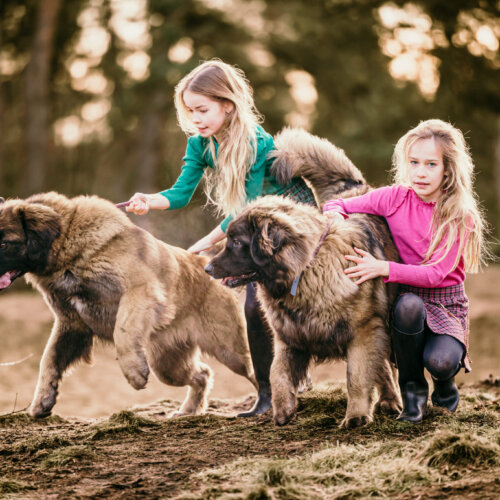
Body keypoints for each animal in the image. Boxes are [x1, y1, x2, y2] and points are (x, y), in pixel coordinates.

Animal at [0, 191, 256, 418]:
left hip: (228, 350)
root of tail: (206, 263)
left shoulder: (139, 291)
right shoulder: (72, 324)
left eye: (4, 244)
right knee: (202, 373)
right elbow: (49, 359)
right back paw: (189, 410)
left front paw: (133, 372)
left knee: (253, 368)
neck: (70, 247)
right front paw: (43, 400)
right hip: (167, 366)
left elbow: (122, 331)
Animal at [206, 127, 402, 428]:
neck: (306, 269)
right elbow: (277, 372)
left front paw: (356, 416)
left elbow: (357, 377)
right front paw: (282, 410)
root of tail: (356, 186)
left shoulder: (363, 331)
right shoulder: (289, 336)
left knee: (383, 365)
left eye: (236, 243)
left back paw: (390, 401)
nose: (208, 268)